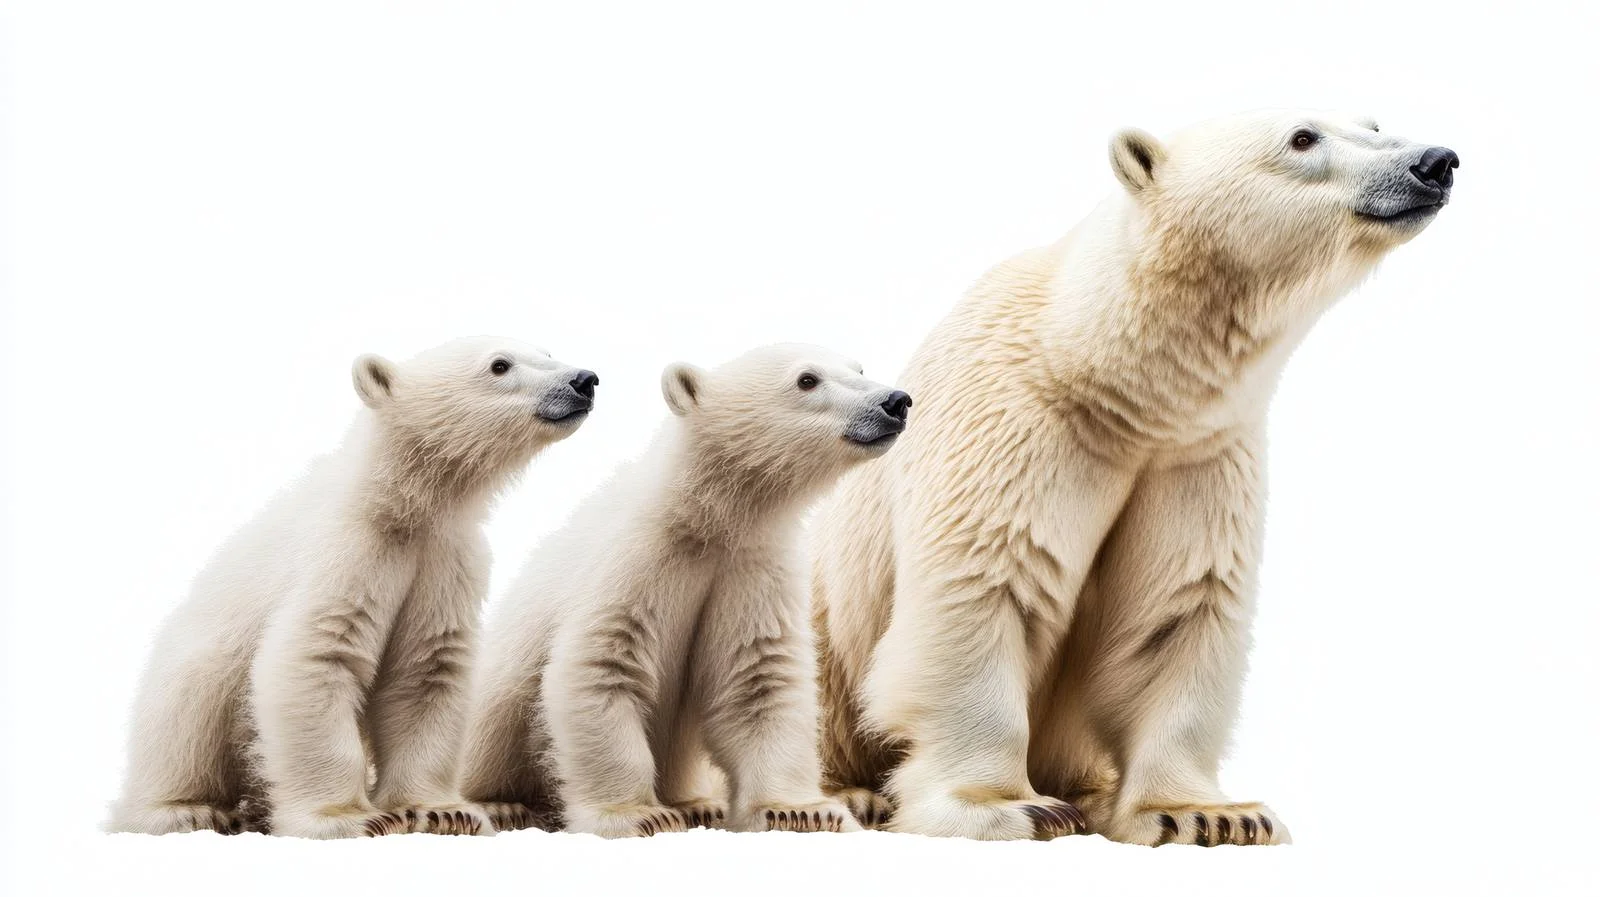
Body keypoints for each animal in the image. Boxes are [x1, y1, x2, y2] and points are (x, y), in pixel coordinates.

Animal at [107, 336, 599, 838]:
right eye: (500, 365)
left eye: (546, 351)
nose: (584, 379)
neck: (398, 503)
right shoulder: (345, 553)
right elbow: (316, 655)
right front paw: (347, 818)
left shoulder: (444, 562)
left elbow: (426, 670)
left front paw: (443, 812)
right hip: (190, 671)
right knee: (189, 715)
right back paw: (188, 810)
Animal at [459, 344, 911, 837]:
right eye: (807, 380)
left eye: (859, 368)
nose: (895, 401)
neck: (704, 518)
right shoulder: (634, 560)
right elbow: (601, 666)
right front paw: (640, 814)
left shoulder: (751, 569)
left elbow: (759, 680)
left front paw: (801, 811)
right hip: (490, 708)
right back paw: (501, 806)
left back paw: (699, 804)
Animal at [810, 110, 1459, 843]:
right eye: (1302, 136)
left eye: (1372, 121)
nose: (1435, 161)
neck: (1106, 379)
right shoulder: (1014, 427)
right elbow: (986, 587)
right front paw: (1010, 806)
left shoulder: (1193, 454)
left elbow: (1177, 608)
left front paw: (1209, 814)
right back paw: (847, 795)